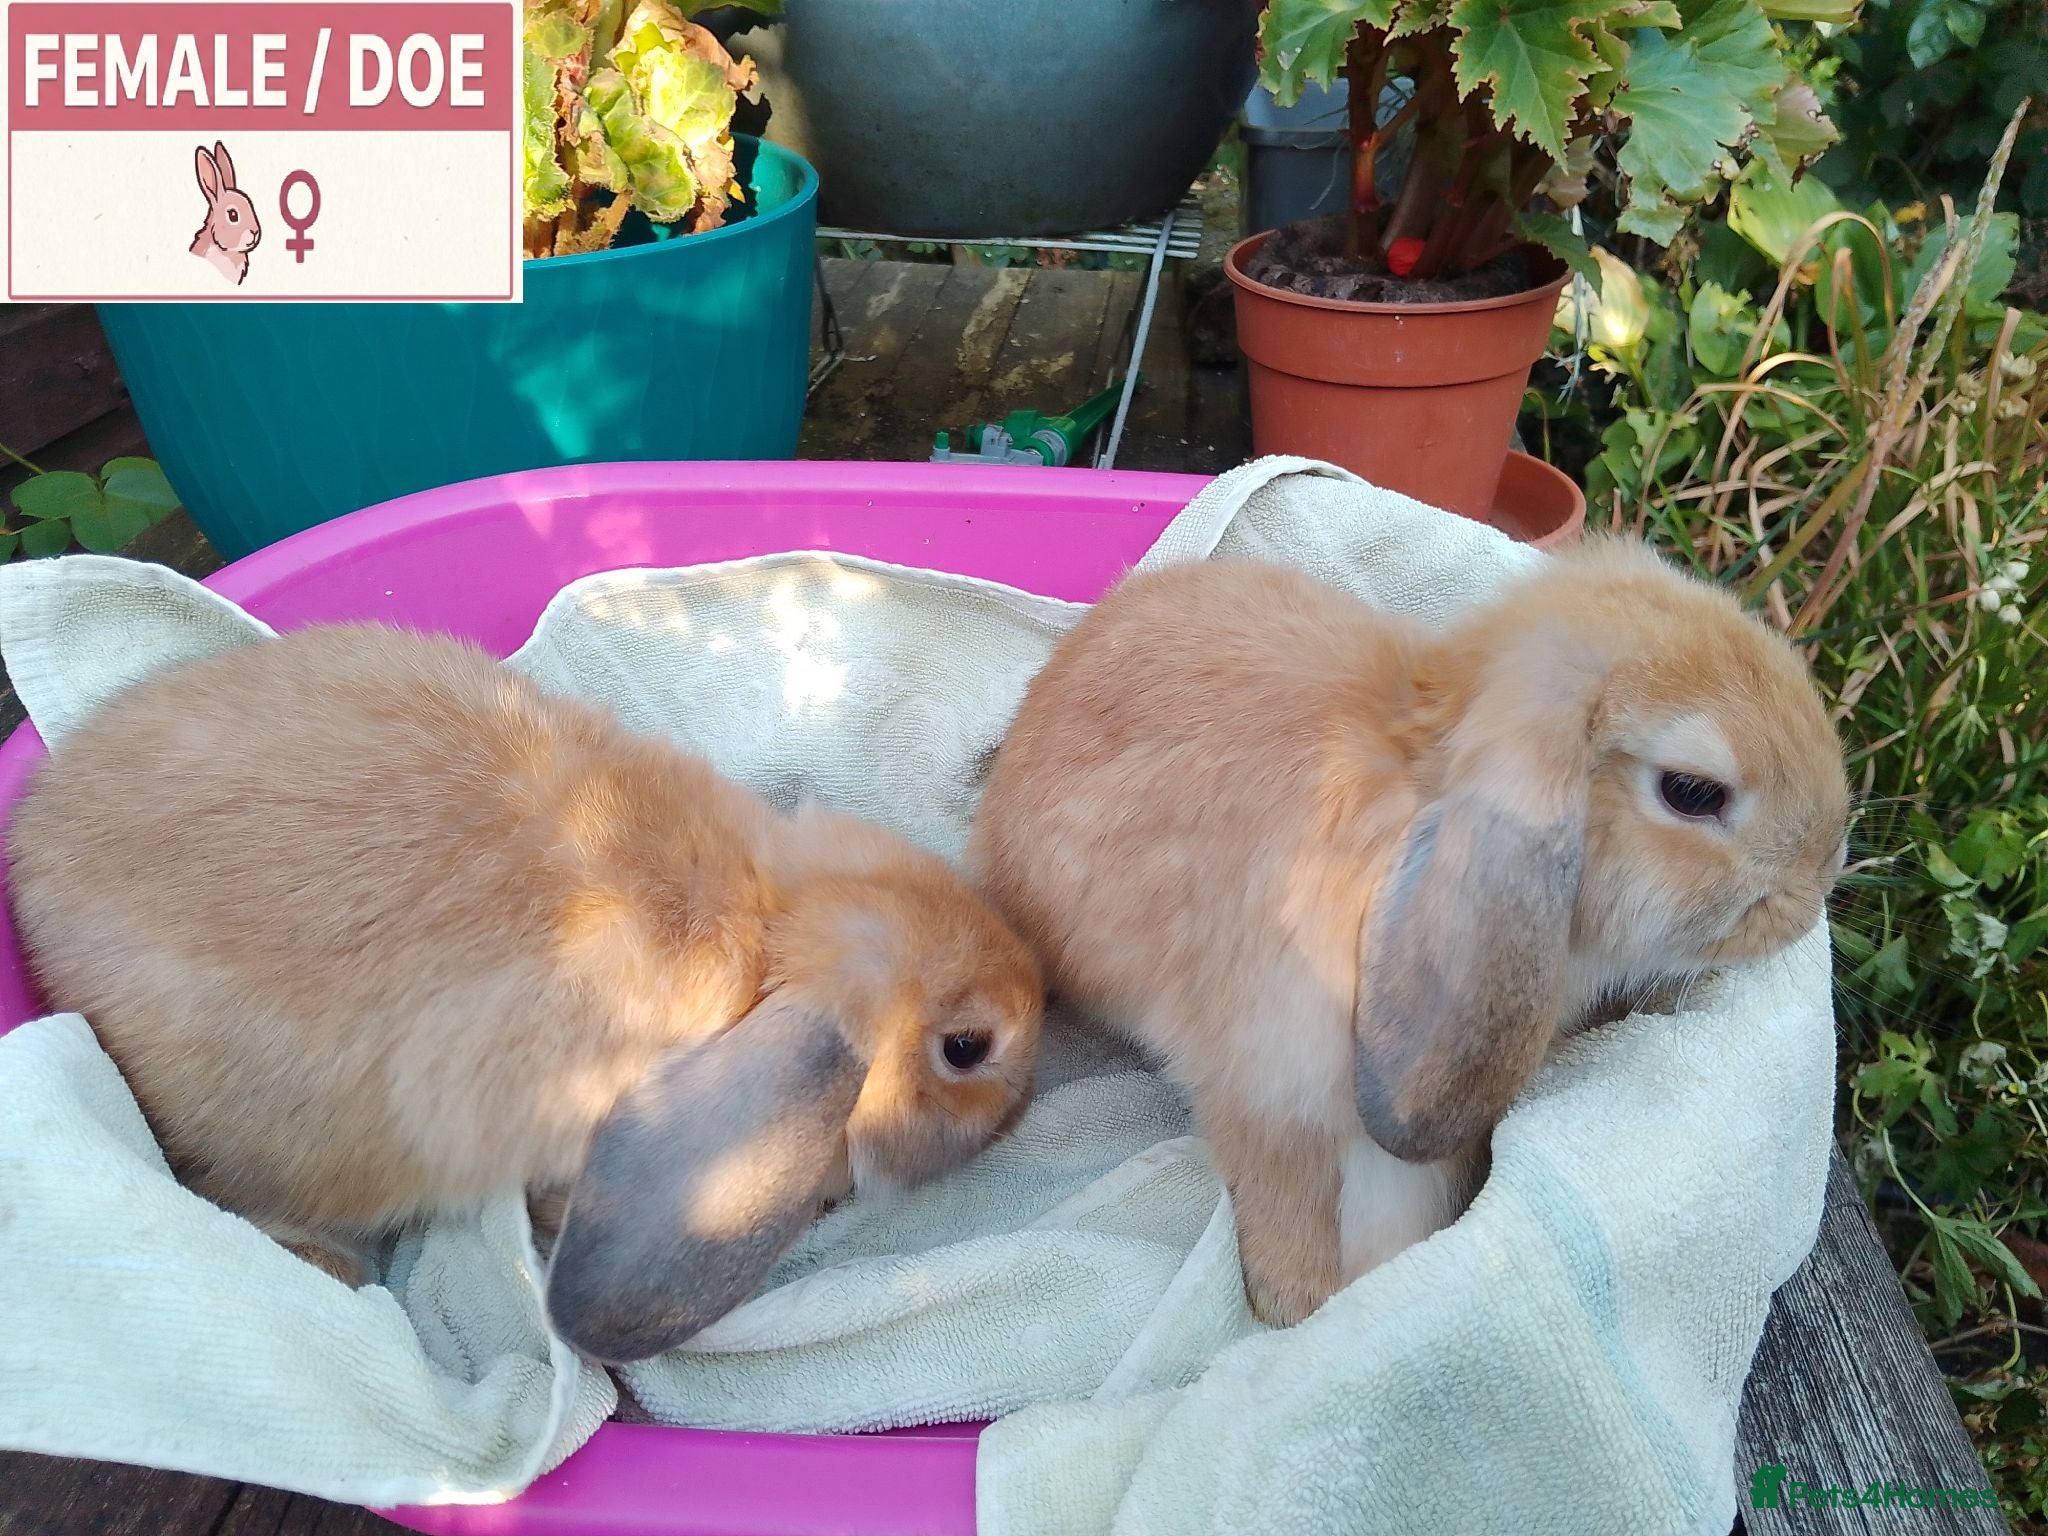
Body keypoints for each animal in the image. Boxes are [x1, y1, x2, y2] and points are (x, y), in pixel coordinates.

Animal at [968, 540, 1849, 1327]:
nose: (1817, 889)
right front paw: (1297, 1305)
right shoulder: (1267, 1079)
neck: (1420, 786)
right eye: (1693, 792)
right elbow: (1281, 1187)